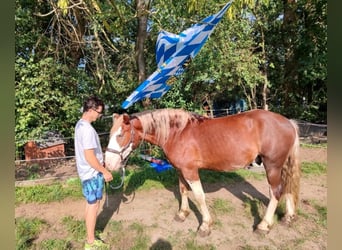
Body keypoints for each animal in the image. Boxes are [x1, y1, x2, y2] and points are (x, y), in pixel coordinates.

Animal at [104, 109, 300, 236]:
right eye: (110, 133)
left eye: (120, 135)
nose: (109, 163)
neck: (177, 133)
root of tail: (288, 122)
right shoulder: (180, 170)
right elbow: (183, 191)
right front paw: (182, 214)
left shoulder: (191, 171)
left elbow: (199, 196)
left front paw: (205, 225)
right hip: (280, 166)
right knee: (287, 187)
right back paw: (288, 217)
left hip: (272, 165)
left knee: (276, 192)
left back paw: (263, 226)